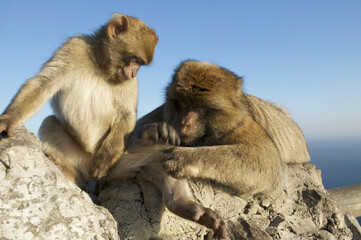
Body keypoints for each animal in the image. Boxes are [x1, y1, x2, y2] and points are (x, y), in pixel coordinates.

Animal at [0, 13, 158, 188]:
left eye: (140, 64)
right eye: (136, 61)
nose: (133, 73)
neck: (101, 67)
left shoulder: (129, 83)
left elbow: (126, 114)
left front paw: (104, 160)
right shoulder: (73, 47)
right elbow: (44, 83)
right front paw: (9, 119)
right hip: (78, 157)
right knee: (49, 122)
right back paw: (68, 173)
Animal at [107, 59, 310, 239]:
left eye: (201, 107)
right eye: (181, 103)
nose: (184, 122)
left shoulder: (241, 124)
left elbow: (268, 163)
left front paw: (185, 158)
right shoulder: (163, 113)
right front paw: (150, 133)